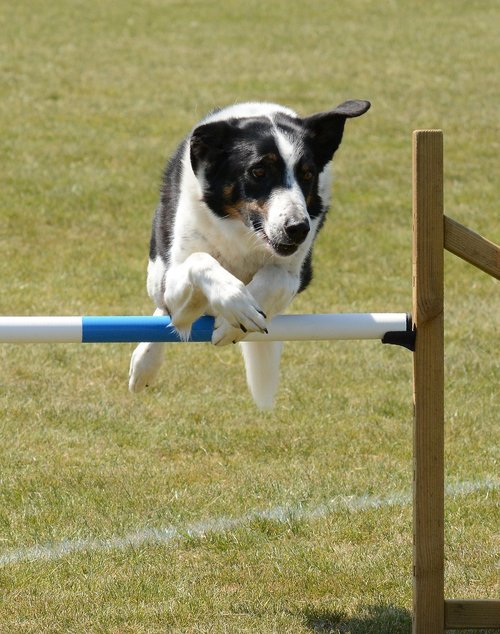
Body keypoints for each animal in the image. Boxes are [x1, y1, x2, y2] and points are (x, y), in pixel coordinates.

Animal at [129, 97, 372, 404]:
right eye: (258, 172)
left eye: (307, 174)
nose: (298, 228)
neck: (244, 233)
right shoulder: (174, 283)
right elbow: (200, 263)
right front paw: (236, 302)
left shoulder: (299, 273)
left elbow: (275, 277)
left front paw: (232, 322)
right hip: (156, 274)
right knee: (162, 309)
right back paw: (144, 365)